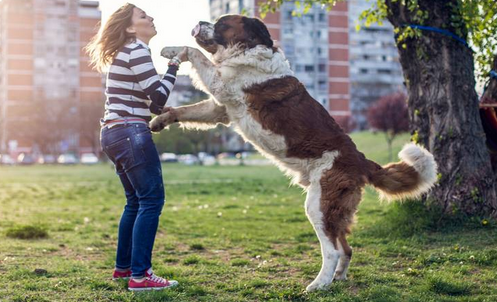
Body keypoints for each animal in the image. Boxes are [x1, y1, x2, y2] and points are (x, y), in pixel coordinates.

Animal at [149, 14, 436, 292]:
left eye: (221, 23)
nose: (199, 23)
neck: (247, 50)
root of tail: (360, 159)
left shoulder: (222, 85)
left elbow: (195, 53)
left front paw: (171, 49)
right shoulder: (221, 108)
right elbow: (188, 110)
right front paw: (160, 120)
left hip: (318, 204)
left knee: (332, 250)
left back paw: (319, 284)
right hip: (334, 209)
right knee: (346, 248)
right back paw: (338, 278)